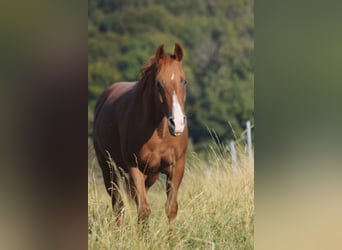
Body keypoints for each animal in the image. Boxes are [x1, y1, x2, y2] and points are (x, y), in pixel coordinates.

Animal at [93, 43, 188, 229]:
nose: (178, 123)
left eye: (183, 81)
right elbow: (143, 210)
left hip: (150, 175)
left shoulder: (176, 167)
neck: (159, 132)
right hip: (109, 169)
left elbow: (171, 208)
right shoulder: (134, 167)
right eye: (159, 84)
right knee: (118, 205)